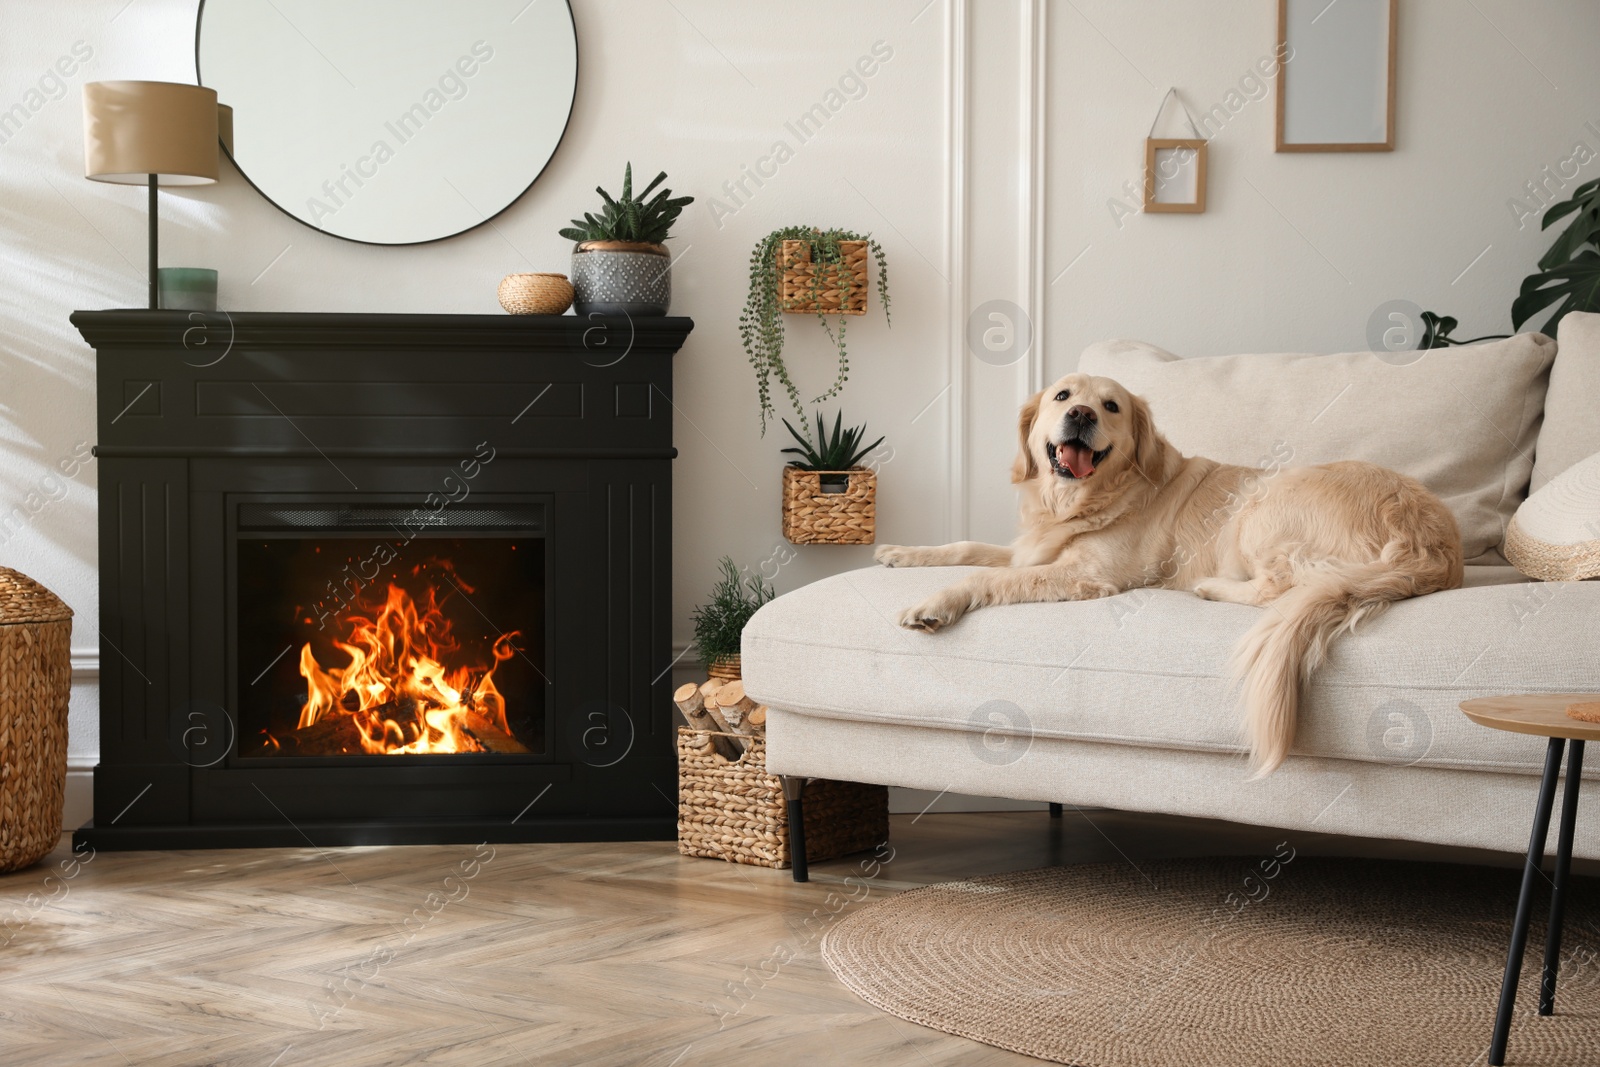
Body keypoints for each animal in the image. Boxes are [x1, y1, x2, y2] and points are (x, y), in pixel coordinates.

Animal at [876, 375, 1465, 777]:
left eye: (1111, 405)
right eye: (1062, 396)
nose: (1082, 414)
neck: (1080, 500)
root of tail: (1428, 541)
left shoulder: (1088, 575)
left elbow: (987, 579)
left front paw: (934, 603)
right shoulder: (1030, 550)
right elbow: (968, 547)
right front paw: (901, 553)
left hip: (1261, 505)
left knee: (1280, 586)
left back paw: (1209, 587)